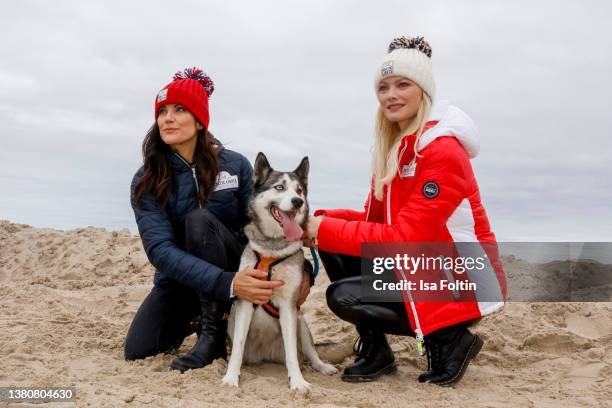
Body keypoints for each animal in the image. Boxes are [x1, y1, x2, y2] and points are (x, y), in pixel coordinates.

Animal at [222, 151, 338, 390]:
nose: (298, 201)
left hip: (300, 320)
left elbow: (292, 352)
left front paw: (298, 382)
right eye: (279, 187)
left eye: (299, 190)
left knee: (309, 352)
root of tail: (265, 355)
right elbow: (237, 347)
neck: (272, 248)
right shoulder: (246, 300)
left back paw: (322, 366)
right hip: (233, 319)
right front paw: (231, 377)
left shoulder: (288, 306)